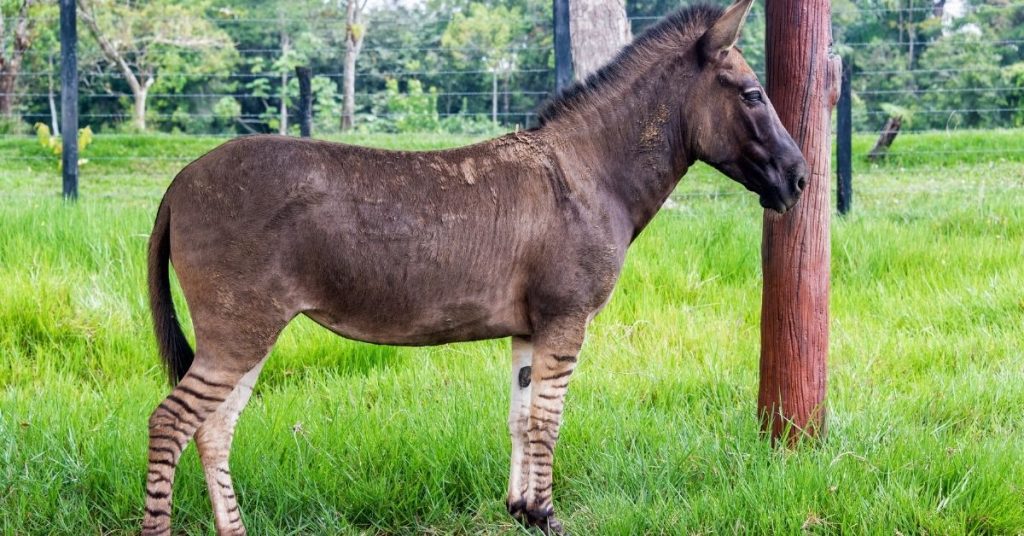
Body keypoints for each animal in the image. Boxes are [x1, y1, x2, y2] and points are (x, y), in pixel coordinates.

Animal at [142, 0, 807, 534]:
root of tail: (179, 181)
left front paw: (524, 510)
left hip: (248, 333)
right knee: (171, 423)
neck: (592, 174)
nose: (801, 180)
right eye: (753, 95)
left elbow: (520, 417)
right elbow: (548, 420)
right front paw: (547, 515)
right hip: (240, 328)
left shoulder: (530, 327)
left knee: (212, 429)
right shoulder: (566, 318)